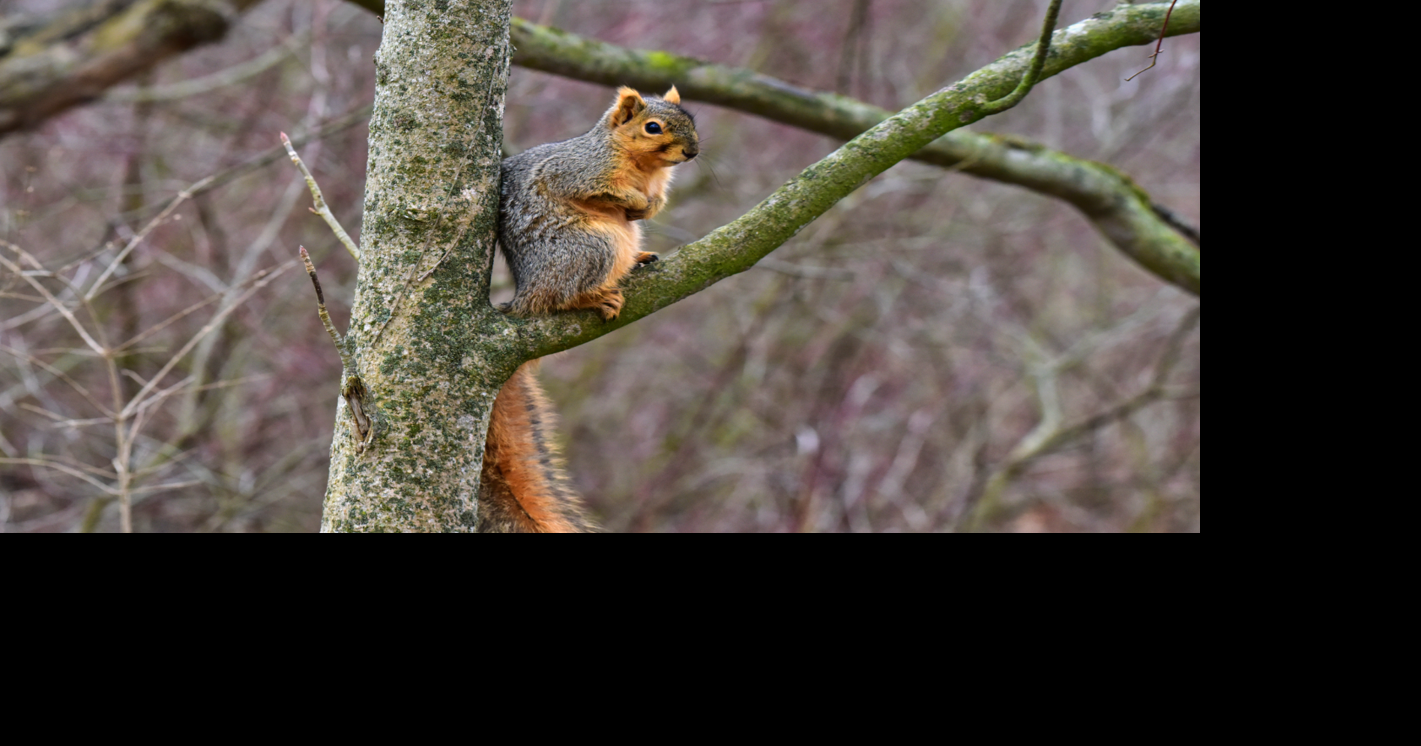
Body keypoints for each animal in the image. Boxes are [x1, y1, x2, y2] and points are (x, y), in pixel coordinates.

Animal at [476, 85, 700, 533]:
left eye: (691, 120)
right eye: (653, 127)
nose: (693, 152)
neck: (643, 167)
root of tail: (526, 296)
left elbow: (656, 200)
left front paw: (649, 205)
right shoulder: (577, 171)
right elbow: (593, 188)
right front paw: (632, 198)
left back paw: (638, 260)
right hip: (591, 246)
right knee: (563, 296)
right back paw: (595, 296)